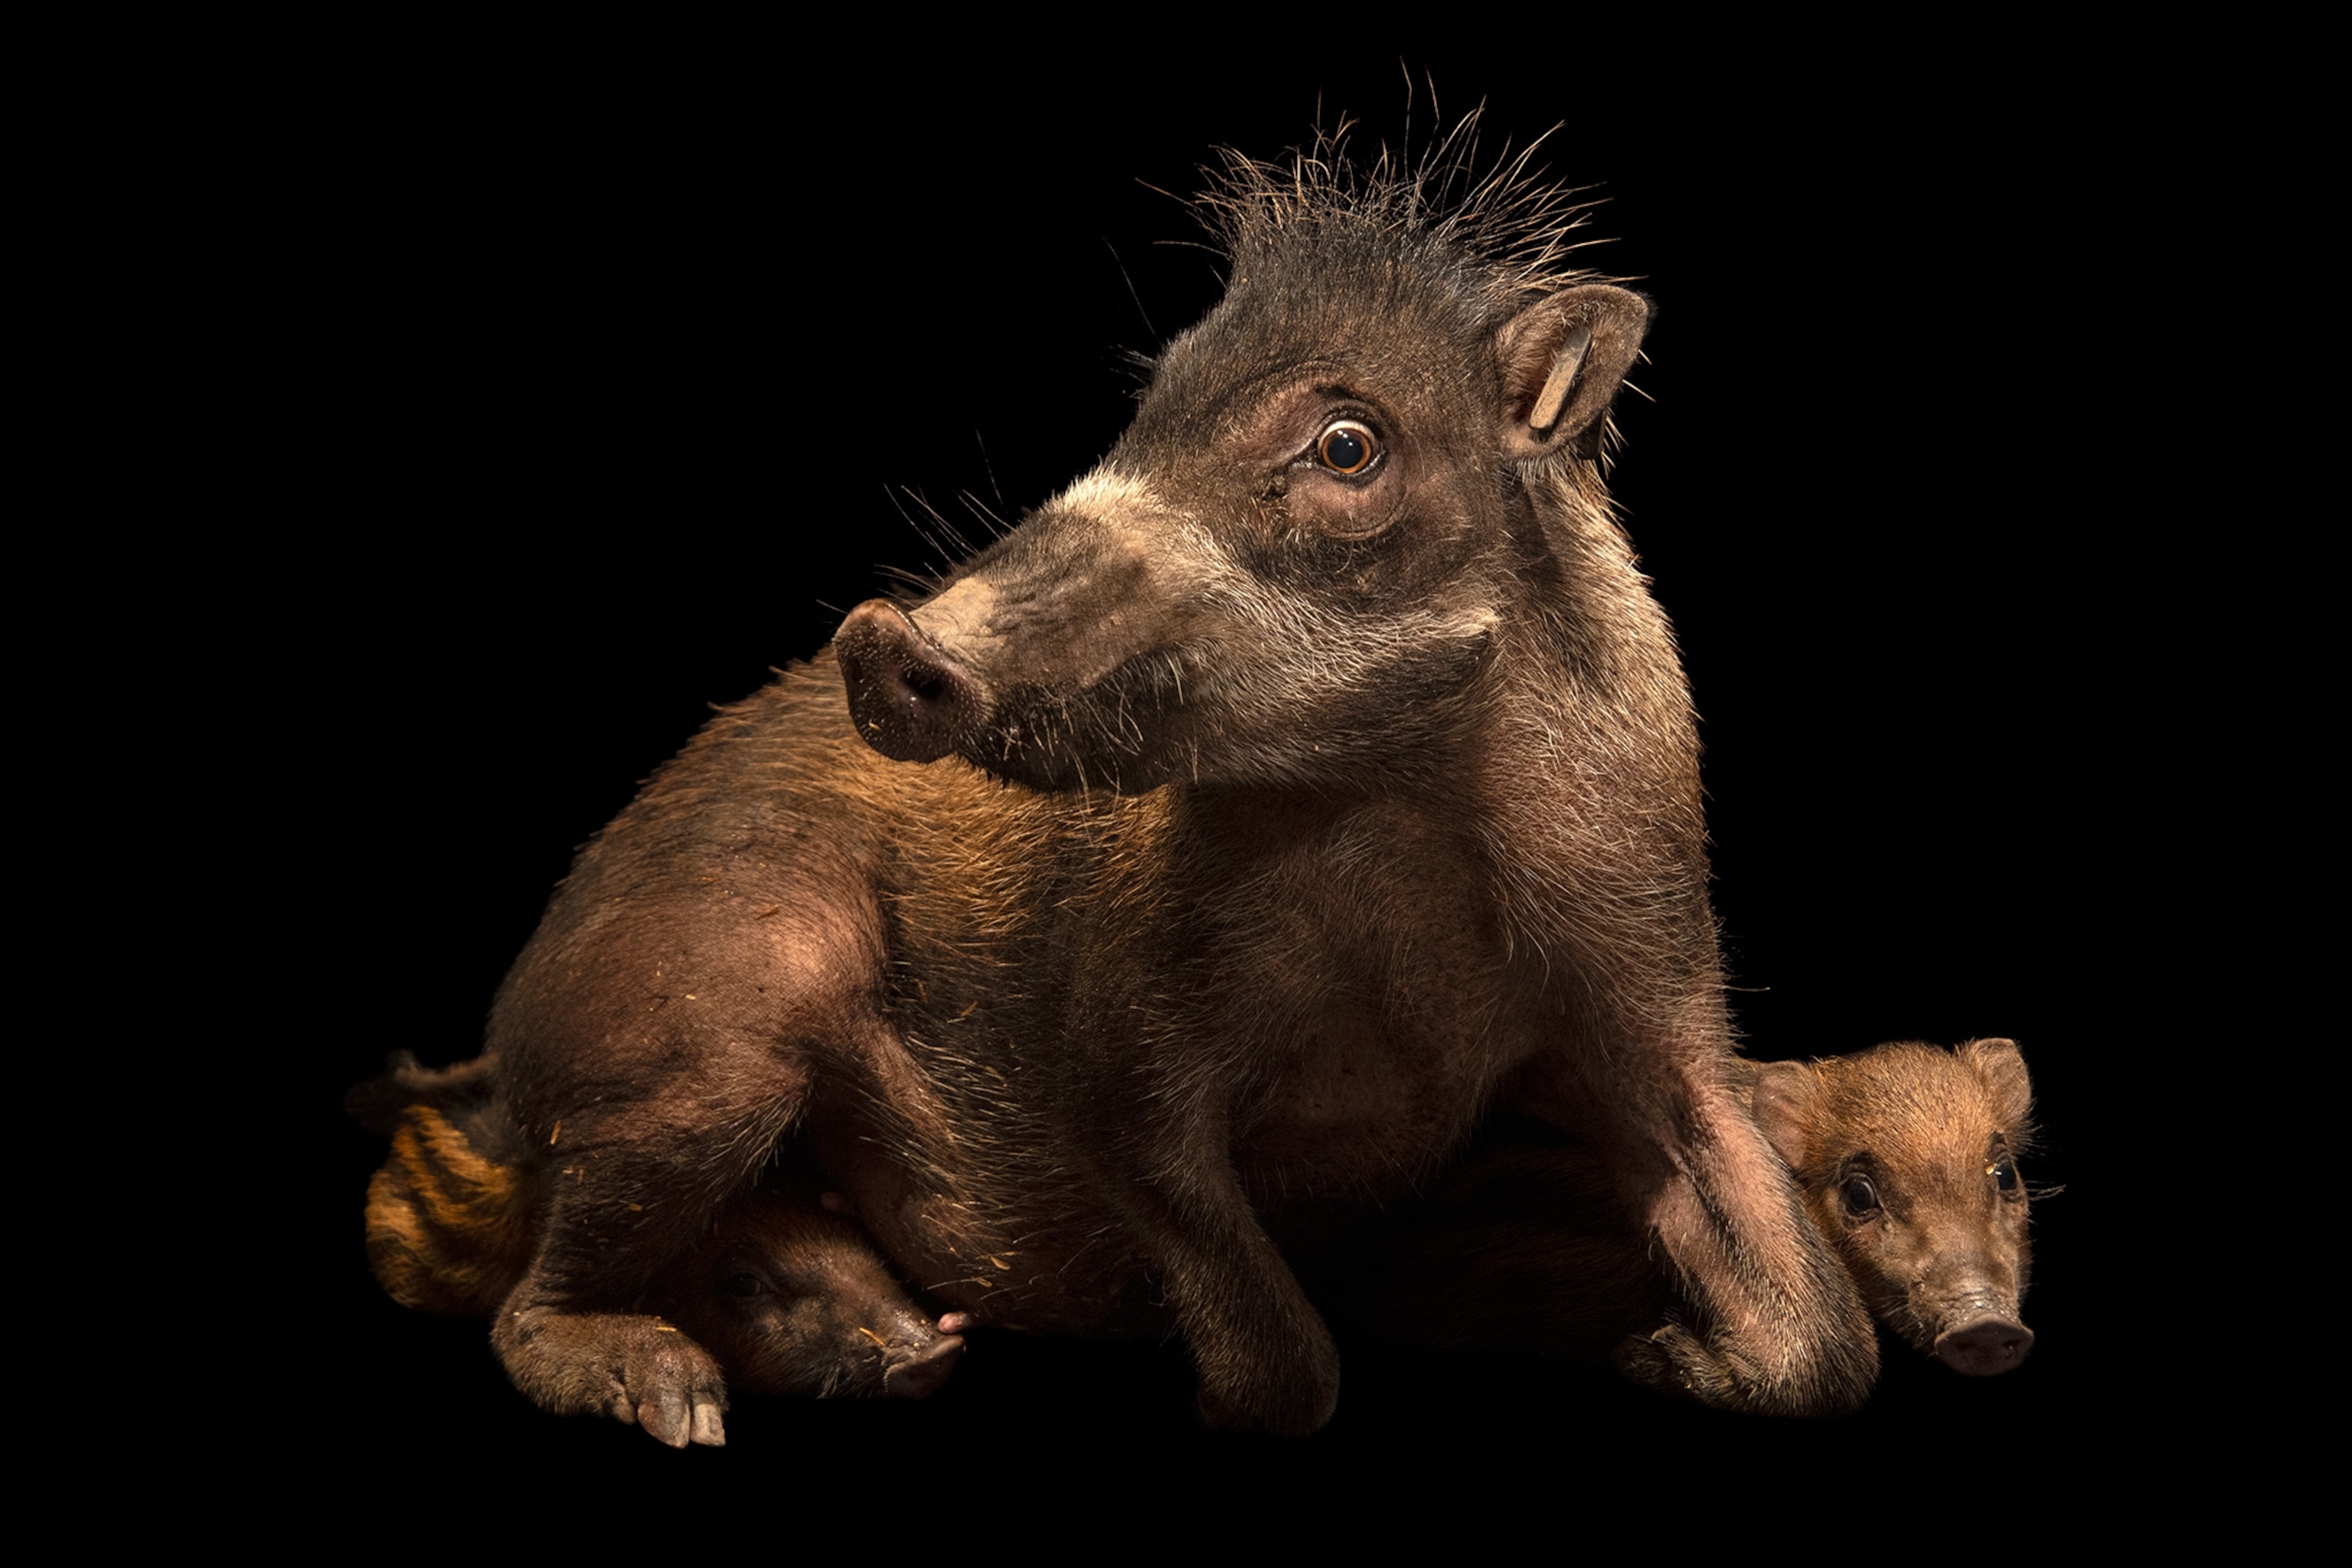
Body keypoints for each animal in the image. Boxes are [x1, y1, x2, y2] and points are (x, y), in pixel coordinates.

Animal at [455, 125, 1877, 1445]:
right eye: (1150, 408)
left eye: (1346, 444)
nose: (883, 640)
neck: (1397, 827)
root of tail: (506, 1041)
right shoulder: (1122, 1059)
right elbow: (1281, 1359)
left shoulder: (1654, 984)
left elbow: (1823, 1333)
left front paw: (1661, 1353)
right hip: (714, 1037)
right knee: (528, 1303)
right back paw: (680, 1391)